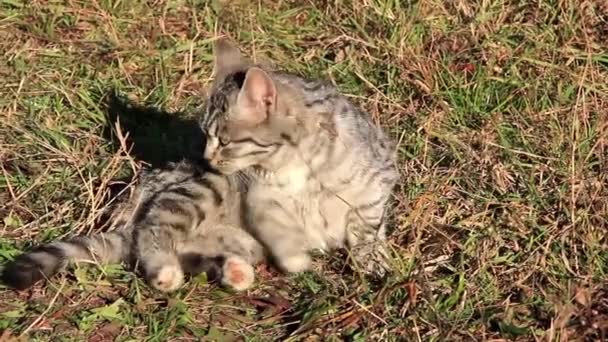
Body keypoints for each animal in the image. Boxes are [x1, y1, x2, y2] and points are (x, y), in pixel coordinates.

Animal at [201, 38, 400, 276]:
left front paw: (371, 257)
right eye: (205, 134)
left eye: (224, 142)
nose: (206, 158)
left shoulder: (379, 175)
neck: (292, 161)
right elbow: (275, 226)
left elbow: (367, 221)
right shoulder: (260, 195)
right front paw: (297, 257)